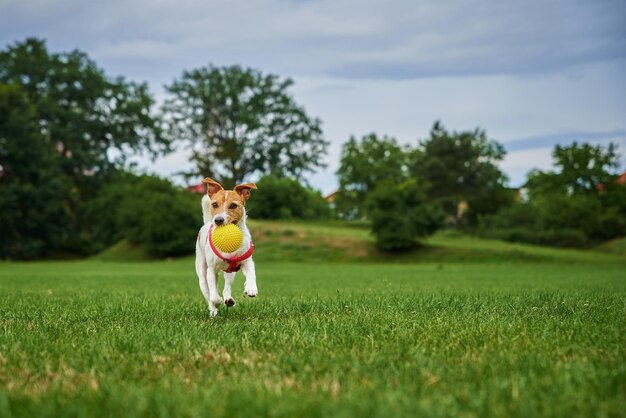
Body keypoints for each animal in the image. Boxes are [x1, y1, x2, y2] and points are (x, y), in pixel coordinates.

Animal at [193, 176, 256, 316]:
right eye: (214, 204)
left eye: (233, 205)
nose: (218, 220)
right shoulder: (211, 270)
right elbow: (213, 296)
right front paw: (217, 302)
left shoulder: (246, 261)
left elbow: (251, 273)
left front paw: (251, 288)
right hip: (202, 273)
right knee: (208, 293)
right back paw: (213, 311)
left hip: (230, 272)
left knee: (226, 286)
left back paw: (228, 299)